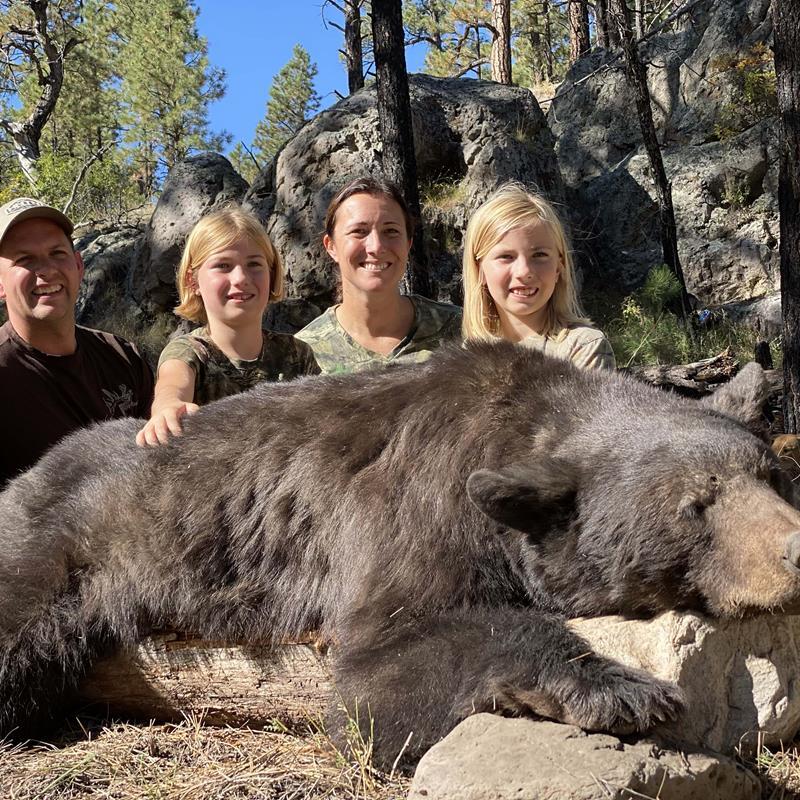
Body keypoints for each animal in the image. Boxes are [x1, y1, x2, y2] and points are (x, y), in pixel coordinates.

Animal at [1, 340, 800, 767]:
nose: (795, 549)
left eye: (771, 473)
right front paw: (620, 687)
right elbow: (379, 675)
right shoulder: (414, 503)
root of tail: (31, 467)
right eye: (696, 504)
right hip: (73, 539)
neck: (509, 426)